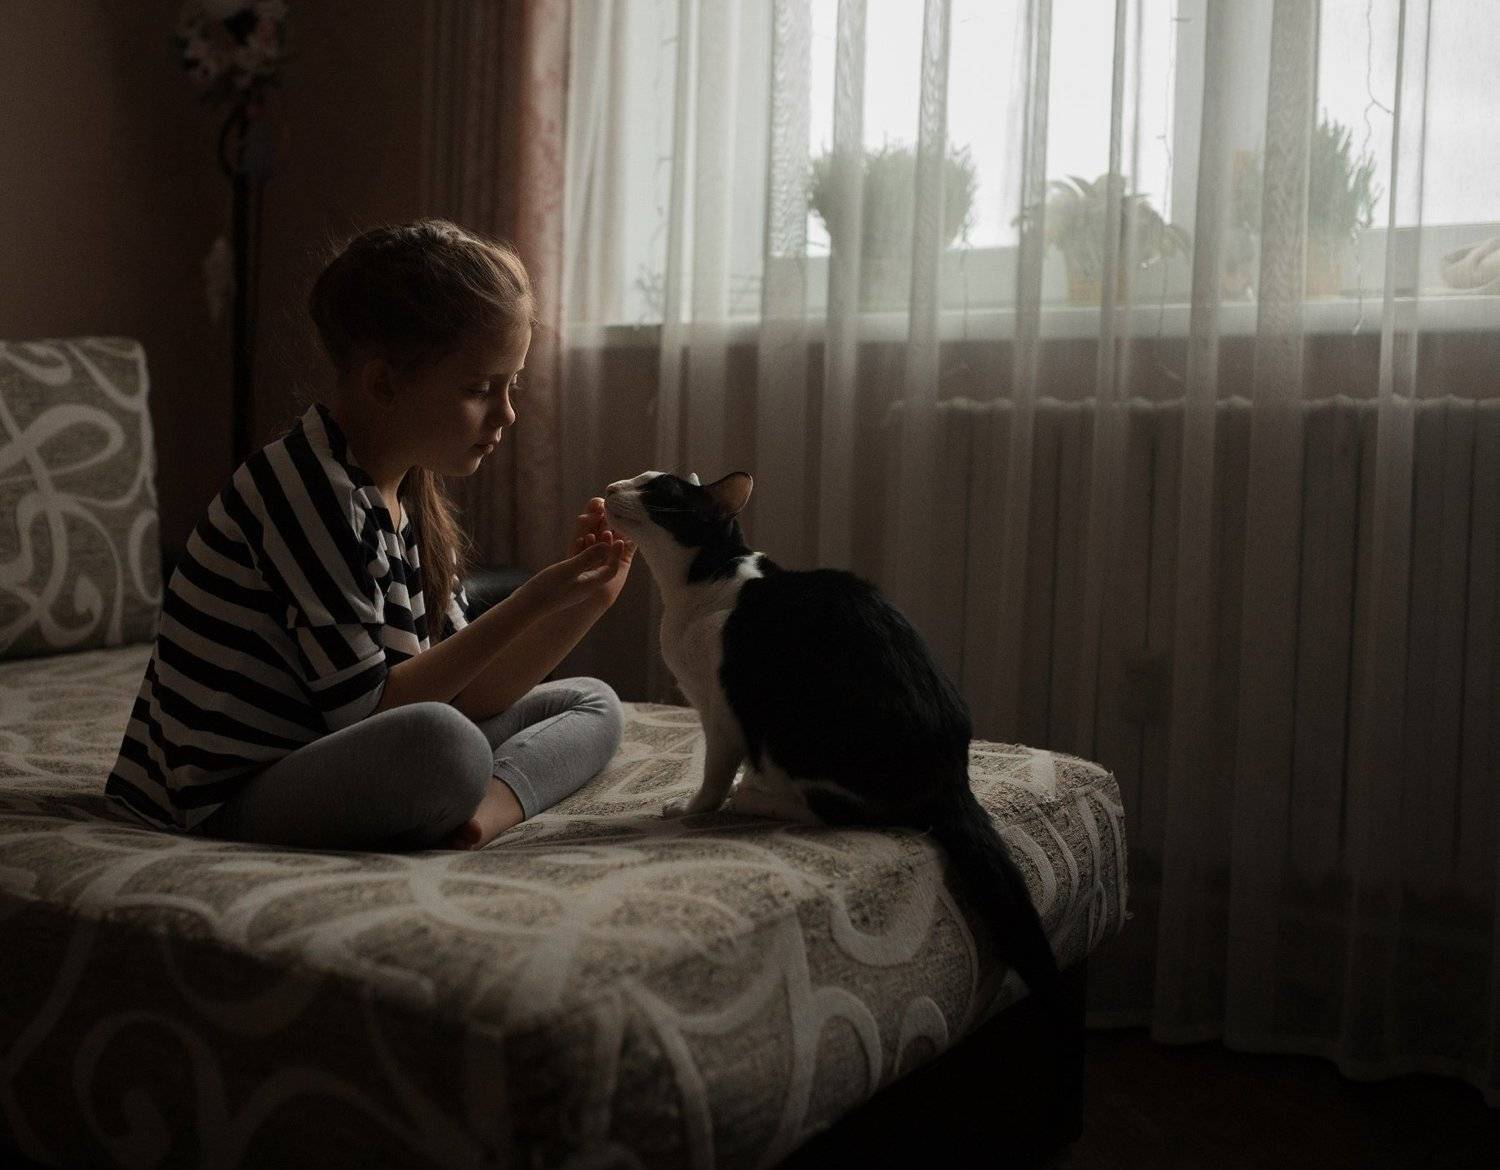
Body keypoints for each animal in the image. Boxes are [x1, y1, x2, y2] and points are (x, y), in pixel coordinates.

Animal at [602, 469, 1066, 1019]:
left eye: (657, 492)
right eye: (638, 478)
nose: (612, 488)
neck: (695, 585)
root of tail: (952, 776)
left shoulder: (721, 711)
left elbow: (713, 774)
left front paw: (693, 808)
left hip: (794, 734)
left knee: (843, 810)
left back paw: (756, 797)